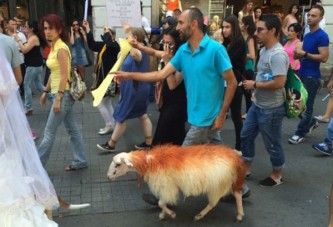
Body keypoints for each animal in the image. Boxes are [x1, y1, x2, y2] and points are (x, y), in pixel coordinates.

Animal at [107, 145, 246, 222]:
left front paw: (171, 214)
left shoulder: (166, 186)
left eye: (118, 164)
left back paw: (199, 215)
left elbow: (161, 202)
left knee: (214, 203)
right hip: (228, 182)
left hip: (219, 184)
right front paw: (163, 215)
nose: (108, 177)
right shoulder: (167, 187)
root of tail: (236, 156)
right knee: (237, 194)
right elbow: (163, 202)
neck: (150, 163)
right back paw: (240, 214)